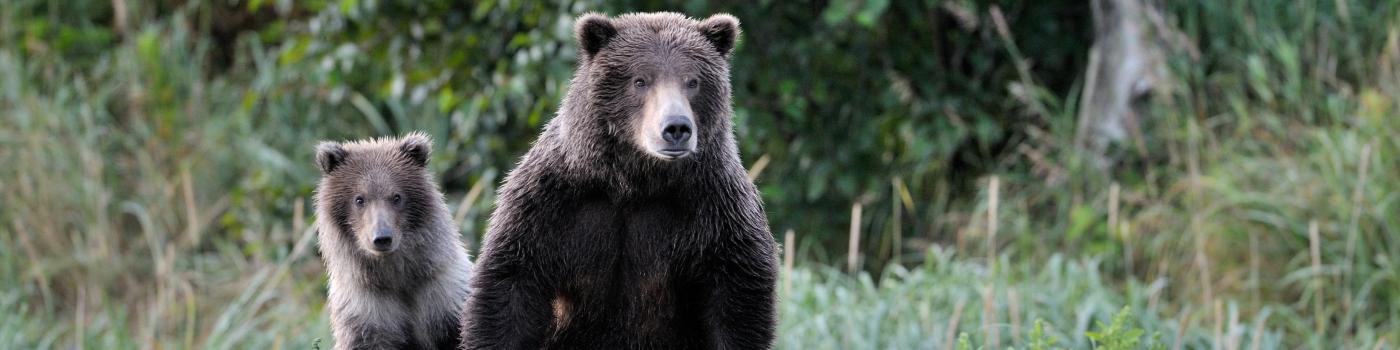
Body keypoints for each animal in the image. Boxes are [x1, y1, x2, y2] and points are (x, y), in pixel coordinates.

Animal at [315, 132, 473, 348]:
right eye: (359, 199)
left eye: (396, 196)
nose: (382, 237)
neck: (397, 276)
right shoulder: (365, 309)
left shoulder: (444, 295)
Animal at [464, 11, 784, 350]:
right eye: (640, 80)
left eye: (693, 81)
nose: (676, 128)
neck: (634, 181)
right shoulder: (552, 205)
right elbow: (511, 287)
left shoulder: (714, 210)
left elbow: (735, 296)